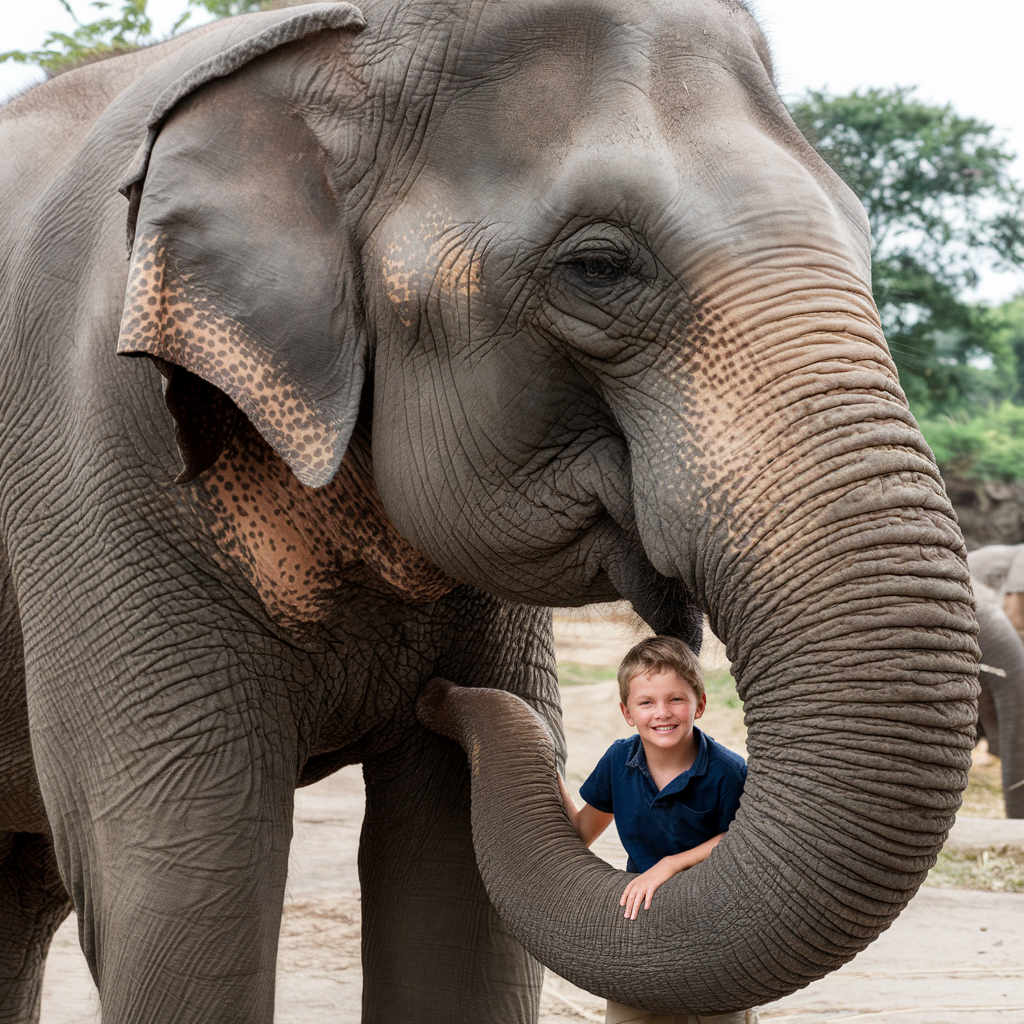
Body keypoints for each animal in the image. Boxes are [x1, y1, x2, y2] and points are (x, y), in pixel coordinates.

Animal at [0, 0, 979, 1021]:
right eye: (598, 266)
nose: (443, 697)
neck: (332, 47)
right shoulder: (96, 445)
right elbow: (183, 870)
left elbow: (453, 877)